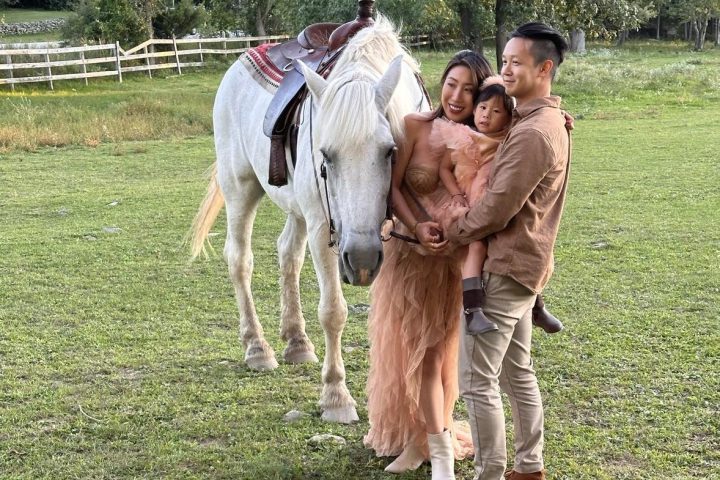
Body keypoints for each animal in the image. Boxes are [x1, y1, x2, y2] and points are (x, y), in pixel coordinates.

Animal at [190, 16, 429, 423]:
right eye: (326, 155)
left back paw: (297, 341)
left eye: (390, 151)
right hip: (241, 188)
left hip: (297, 209)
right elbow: (333, 311)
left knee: (288, 254)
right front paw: (336, 397)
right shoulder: (323, 230)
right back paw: (257, 348)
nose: (361, 259)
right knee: (240, 259)